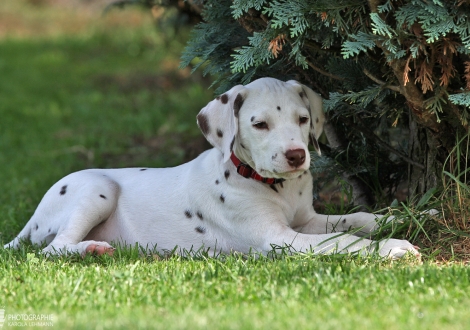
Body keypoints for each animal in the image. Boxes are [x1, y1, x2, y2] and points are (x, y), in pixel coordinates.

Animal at [2, 76, 422, 258]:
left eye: (303, 120)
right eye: (260, 124)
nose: (296, 156)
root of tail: (31, 221)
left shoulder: (305, 220)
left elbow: (357, 219)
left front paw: (411, 215)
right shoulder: (279, 237)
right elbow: (343, 241)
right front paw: (393, 247)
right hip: (96, 190)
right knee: (53, 248)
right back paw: (91, 249)